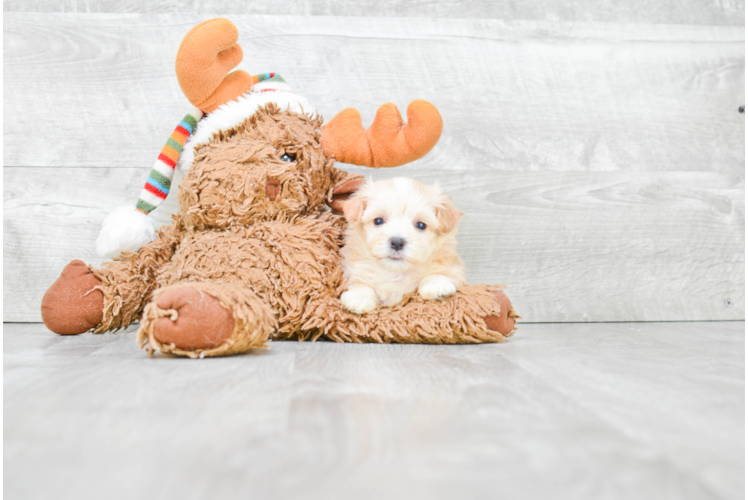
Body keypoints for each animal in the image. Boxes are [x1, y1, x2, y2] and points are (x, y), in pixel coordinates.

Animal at [340, 178, 468, 314]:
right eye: (378, 221)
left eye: (421, 225)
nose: (397, 242)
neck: (397, 273)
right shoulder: (353, 269)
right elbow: (360, 283)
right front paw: (359, 297)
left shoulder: (454, 269)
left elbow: (440, 273)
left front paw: (436, 285)